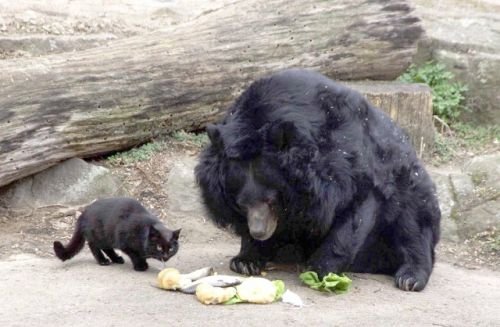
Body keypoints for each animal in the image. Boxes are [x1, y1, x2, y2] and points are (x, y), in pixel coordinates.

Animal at [52, 197, 181, 272]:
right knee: (93, 245)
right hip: (99, 235)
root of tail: (84, 213)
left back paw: (116, 258)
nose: (165, 256)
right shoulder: (125, 243)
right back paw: (103, 260)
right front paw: (141, 265)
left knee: (106, 248)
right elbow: (135, 255)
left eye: (171, 248)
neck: (142, 233)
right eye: (159, 247)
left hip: (107, 236)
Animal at [195, 68, 442, 292]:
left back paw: (409, 277)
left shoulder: (347, 164)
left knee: (413, 226)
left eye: (271, 201)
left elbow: (353, 211)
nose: (259, 232)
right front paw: (245, 260)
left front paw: (319, 270)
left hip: (410, 185)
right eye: (241, 204)